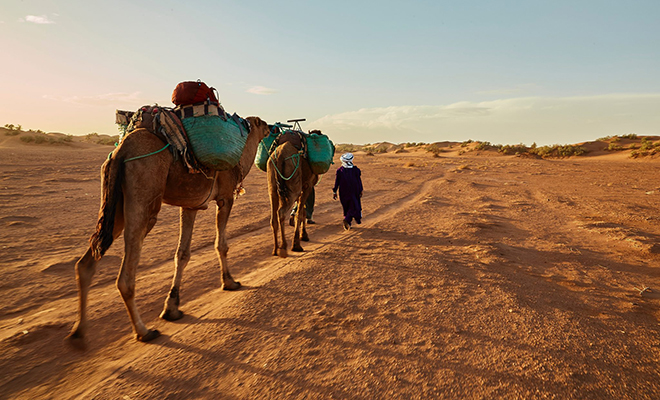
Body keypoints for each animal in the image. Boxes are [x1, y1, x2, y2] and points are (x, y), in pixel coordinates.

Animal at [68, 115, 270, 340]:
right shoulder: (225, 198)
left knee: (86, 263)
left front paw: (171, 308)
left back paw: (79, 332)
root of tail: (121, 150)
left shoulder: (191, 205)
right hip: (144, 193)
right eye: (263, 124)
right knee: (125, 277)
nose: (271, 128)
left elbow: (182, 254)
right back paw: (144, 331)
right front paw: (230, 282)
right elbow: (221, 244)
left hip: (115, 205)